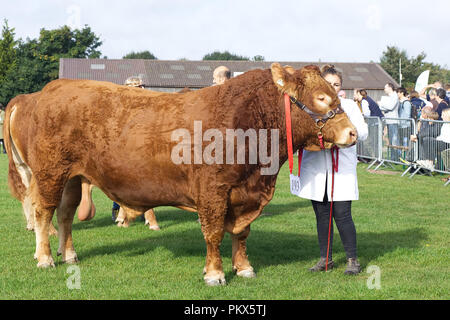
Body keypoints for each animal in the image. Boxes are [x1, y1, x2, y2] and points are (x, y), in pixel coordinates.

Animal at [2, 63, 356, 284]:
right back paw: (45, 257)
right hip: (50, 172)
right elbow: (213, 233)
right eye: (322, 97)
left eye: (335, 93)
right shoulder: (212, 192)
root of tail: (52, 89)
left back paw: (70, 255)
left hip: (72, 177)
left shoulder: (245, 194)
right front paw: (215, 274)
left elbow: (241, 234)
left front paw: (243, 268)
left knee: (65, 213)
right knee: (43, 211)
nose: (352, 133)